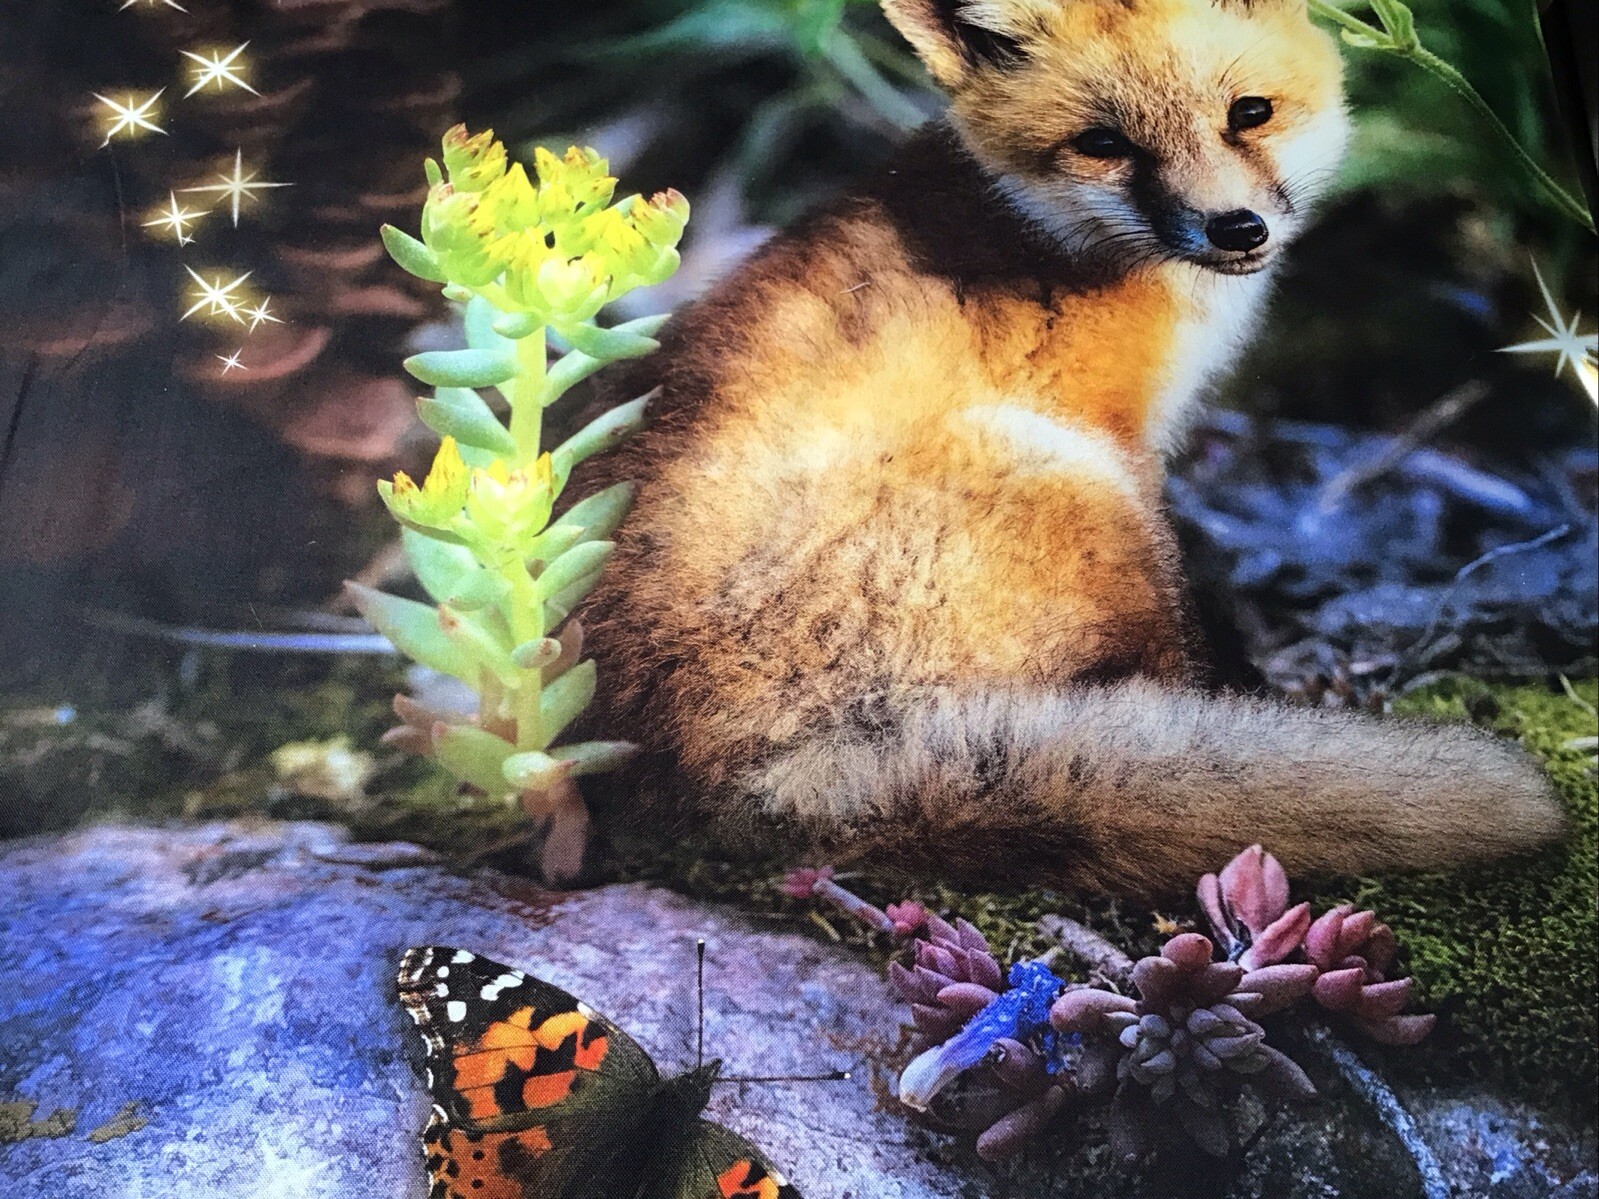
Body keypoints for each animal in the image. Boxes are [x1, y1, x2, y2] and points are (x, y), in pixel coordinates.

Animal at [575, 0, 1566, 894]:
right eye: (1104, 144)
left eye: (1249, 111)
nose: (1236, 228)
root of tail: (737, 782)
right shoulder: (1123, 443)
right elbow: (1185, 623)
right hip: (1072, 484)